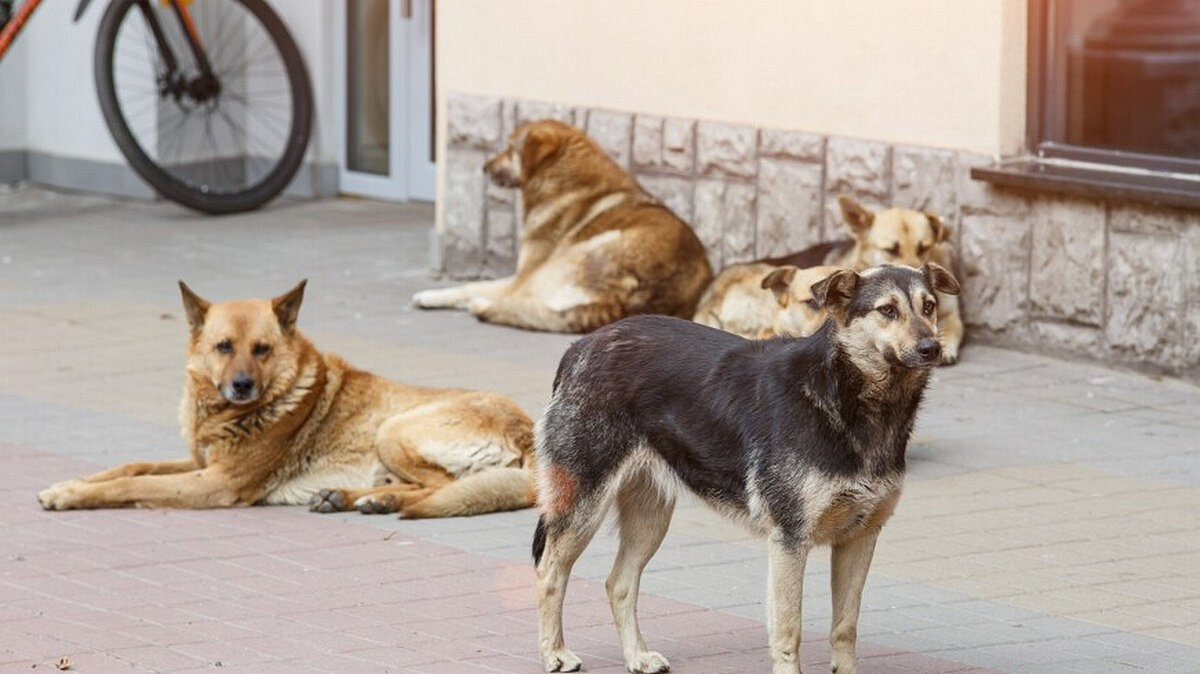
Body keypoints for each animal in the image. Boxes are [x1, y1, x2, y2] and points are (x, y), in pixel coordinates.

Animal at [37, 278, 535, 513]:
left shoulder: (215, 482)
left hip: (394, 429)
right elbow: (131, 466)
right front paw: (70, 483)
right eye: (223, 347)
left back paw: (377, 501)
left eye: (262, 349)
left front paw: (72, 496)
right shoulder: (200, 462)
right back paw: (353, 499)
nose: (242, 386)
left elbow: (133, 484)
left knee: (444, 486)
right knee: (428, 486)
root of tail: (527, 431)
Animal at [412, 119, 710, 333]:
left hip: (569, 258)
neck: (564, 180)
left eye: (510, 149)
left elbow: (472, 287)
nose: (484, 167)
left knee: (518, 302)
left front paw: (434, 295)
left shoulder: (524, 276)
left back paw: (483, 306)